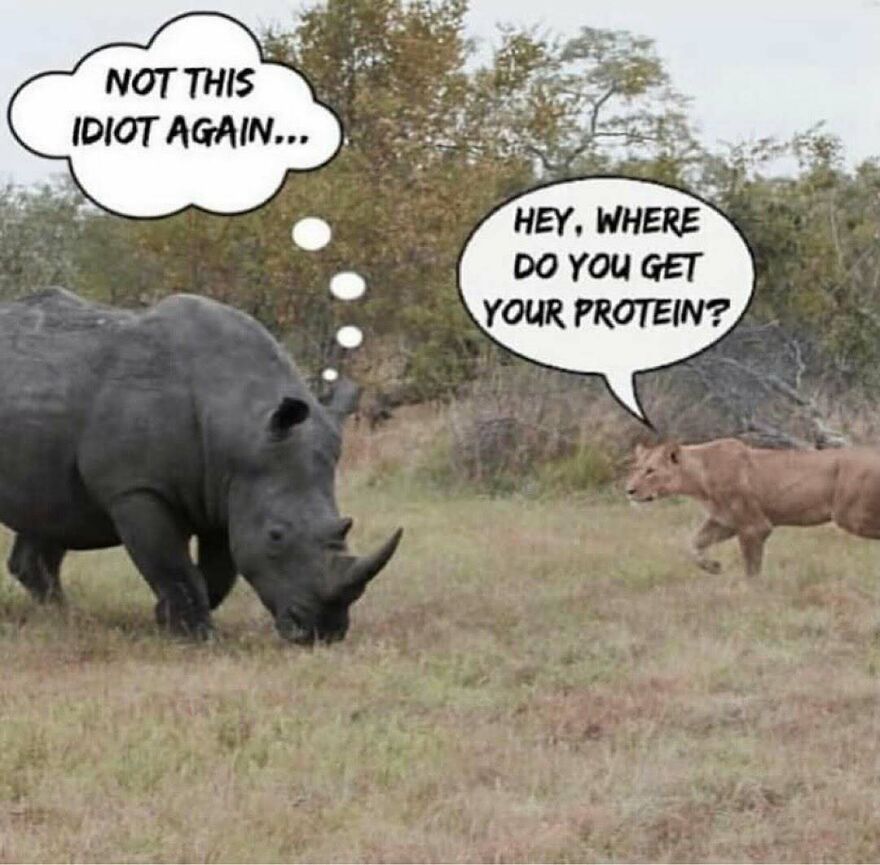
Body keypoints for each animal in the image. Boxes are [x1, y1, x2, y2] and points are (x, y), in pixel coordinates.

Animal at [0, 288, 402, 643]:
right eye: (276, 535)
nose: (324, 633)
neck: (240, 420)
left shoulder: (226, 490)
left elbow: (218, 572)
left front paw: (168, 622)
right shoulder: (137, 488)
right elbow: (175, 567)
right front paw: (197, 637)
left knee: (49, 515)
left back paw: (62, 618)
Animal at [625, 438, 880, 576]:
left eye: (650, 471)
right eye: (636, 468)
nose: (629, 490)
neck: (698, 477)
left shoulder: (754, 526)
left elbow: (752, 569)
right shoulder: (724, 521)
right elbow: (692, 543)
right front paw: (712, 566)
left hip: (851, 515)